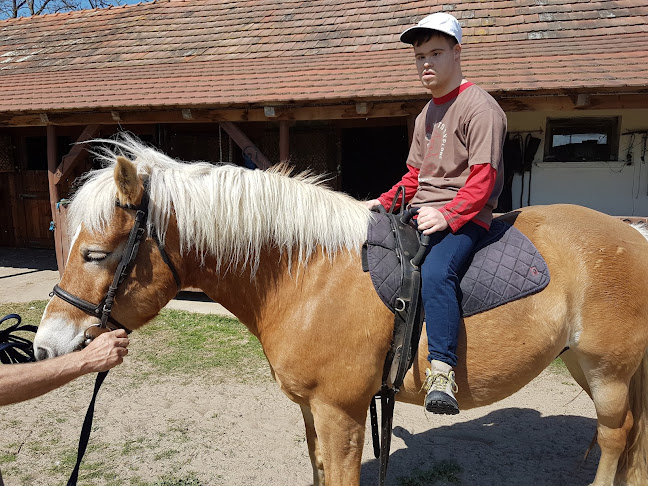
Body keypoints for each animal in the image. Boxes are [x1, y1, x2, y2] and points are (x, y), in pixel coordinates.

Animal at [34, 137, 648, 486]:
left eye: (93, 254)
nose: (45, 345)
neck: (305, 274)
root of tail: (632, 234)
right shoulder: (315, 413)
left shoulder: (343, 414)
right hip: (582, 364)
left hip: (608, 369)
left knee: (616, 438)